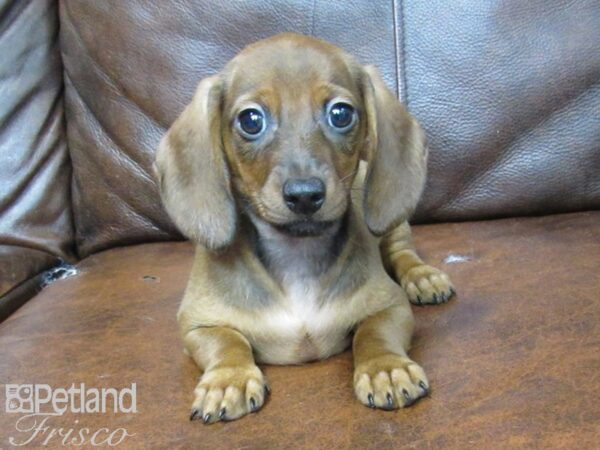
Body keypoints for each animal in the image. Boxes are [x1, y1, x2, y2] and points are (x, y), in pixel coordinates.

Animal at [155, 33, 454, 424]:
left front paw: (386, 368)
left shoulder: (391, 306)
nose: (304, 195)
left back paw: (423, 277)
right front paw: (228, 379)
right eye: (251, 120)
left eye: (341, 113)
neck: (296, 254)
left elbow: (374, 333)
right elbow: (227, 341)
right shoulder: (197, 323)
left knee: (403, 253)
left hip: (394, 228)